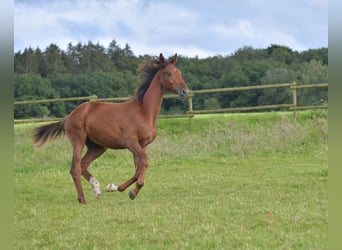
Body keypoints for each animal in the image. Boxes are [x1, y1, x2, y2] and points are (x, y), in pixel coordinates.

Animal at [32, 52, 190, 203]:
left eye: (180, 72)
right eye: (169, 73)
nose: (185, 91)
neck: (144, 112)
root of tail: (69, 116)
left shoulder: (142, 145)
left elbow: (137, 170)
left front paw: (114, 187)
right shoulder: (131, 142)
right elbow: (144, 163)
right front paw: (133, 192)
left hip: (97, 147)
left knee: (83, 164)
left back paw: (96, 188)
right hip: (78, 141)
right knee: (75, 168)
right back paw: (82, 199)